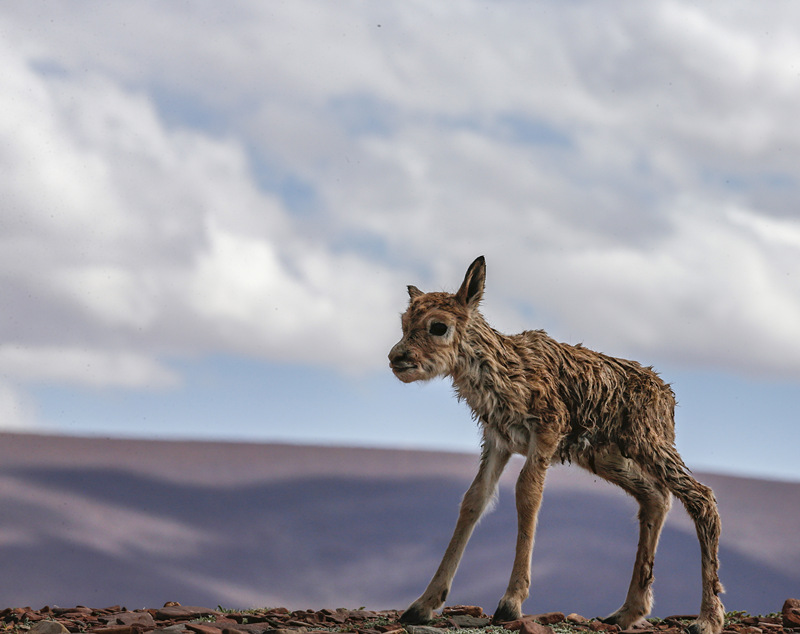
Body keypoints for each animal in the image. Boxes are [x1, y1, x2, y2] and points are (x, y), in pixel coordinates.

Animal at [388, 254, 724, 628]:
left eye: (438, 326)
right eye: (403, 322)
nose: (396, 358)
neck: (508, 373)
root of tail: (667, 394)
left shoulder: (548, 429)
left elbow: (527, 494)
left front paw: (511, 602)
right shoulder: (498, 440)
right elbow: (474, 499)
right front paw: (423, 603)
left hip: (649, 444)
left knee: (701, 498)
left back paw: (708, 618)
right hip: (605, 455)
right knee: (656, 498)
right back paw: (627, 611)